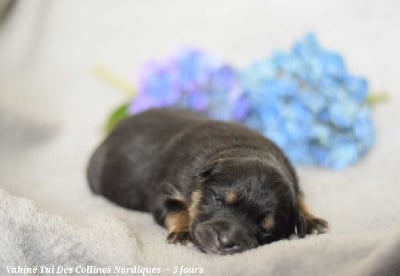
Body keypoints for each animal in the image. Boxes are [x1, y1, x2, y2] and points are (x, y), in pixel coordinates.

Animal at [87, 108, 328, 254]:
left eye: (266, 228)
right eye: (219, 199)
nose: (225, 241)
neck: (246, 149)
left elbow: (300, 198)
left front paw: (311, 220)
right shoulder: (165, 191)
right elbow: (177, 209)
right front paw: (183, 232)